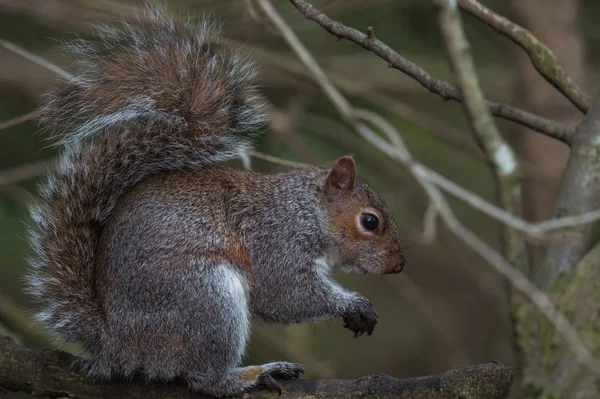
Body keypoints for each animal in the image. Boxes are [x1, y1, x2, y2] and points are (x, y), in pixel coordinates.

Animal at [25, 4, 406, 398]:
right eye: (370, 221)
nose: (399, 265)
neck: (305, 210)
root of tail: (117, 344)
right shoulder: (276, 240)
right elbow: (284, 293)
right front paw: (353, 302)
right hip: (206, 300)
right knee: (204, 376)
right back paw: (250, 375)